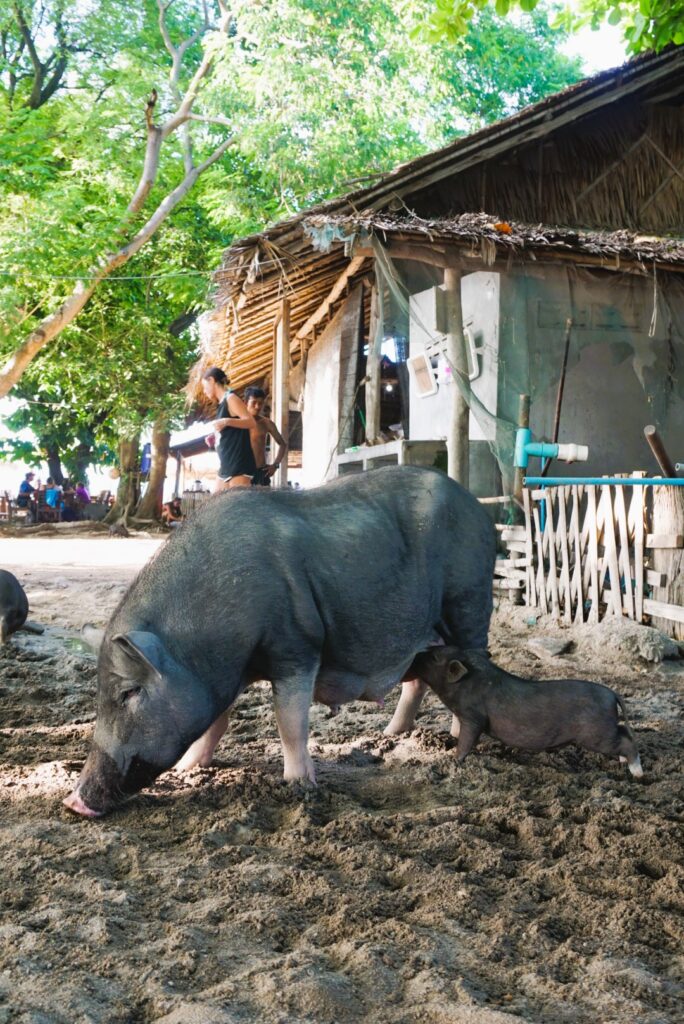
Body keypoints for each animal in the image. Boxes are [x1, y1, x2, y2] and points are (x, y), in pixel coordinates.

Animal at [64, 465, 496, 817]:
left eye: (129, 692)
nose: (73, 802)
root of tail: (480, 510)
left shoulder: (297, 646)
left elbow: (289, 721)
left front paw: (300, 786)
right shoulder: (224, 676)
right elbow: (216, 722)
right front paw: (190, 768)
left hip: (469, 601)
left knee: (472, 668)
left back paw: (456, 743)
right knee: (420, 678)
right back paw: (391, 735)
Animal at [410, 646, 643, 777]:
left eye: (434, 657)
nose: (415, 655)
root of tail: (612, 693)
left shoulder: (473, 717)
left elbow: (466, 741)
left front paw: (453, 760)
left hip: (596, 734)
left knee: (628, 743)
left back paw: (637, 774)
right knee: (624, 732)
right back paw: (623, 763)